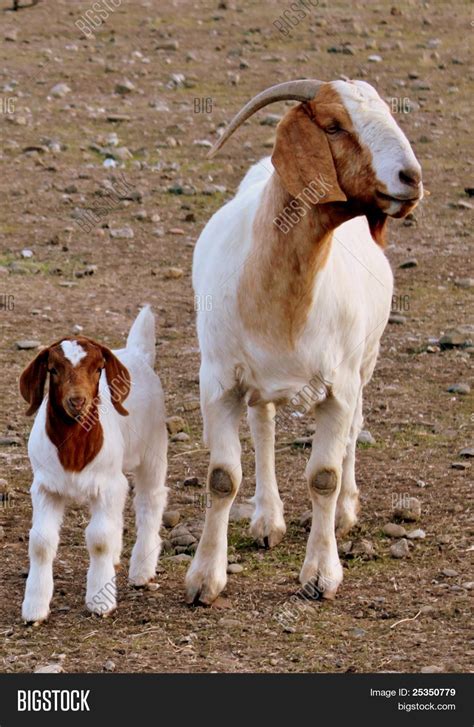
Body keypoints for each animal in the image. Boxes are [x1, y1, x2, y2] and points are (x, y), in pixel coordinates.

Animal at [20, 306, 168, 622]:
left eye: (98, 369)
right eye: (53, 369)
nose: (77, 401)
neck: (73, 449)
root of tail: (136, 353)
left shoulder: (106, 485)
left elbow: (99, 538)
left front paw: (100, 602)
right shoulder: (45, 487)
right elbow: (41, 542)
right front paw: (34, 607)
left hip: (154, 449)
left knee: (150, 500)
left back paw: (141, 571)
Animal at [186, 79, 423, 605]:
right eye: (333, 126)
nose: (411, 177)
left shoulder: (339, 386)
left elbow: (324, 476)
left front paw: (320, 574)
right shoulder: (219, 382)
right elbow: (222, 478)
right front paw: (204, 580)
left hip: (366, 361)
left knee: (355, 428)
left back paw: (348, 512)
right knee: (264, 427)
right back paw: (266, 520)